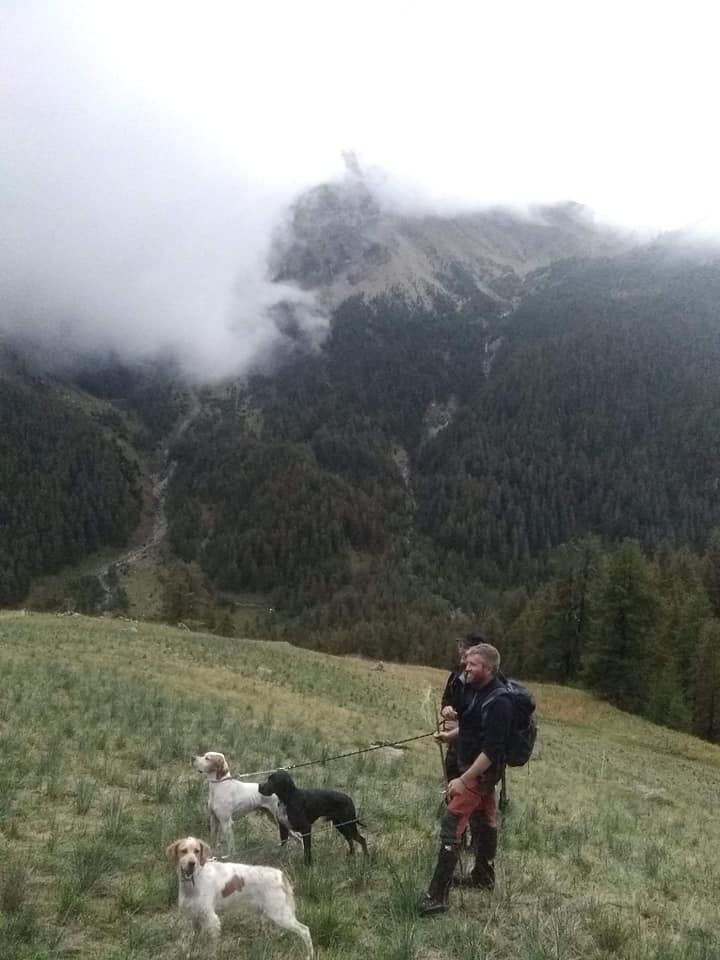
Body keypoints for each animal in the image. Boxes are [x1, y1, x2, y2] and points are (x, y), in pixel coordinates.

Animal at [169, 836, 316, 956]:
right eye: (183, 851)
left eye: (197, 851)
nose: (192, 863)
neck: (194, 881)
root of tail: (279, 874)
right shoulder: (192, 918)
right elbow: (192, 942)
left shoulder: (211, 919)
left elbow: (211, 946)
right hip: (271, 915)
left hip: (280, 915)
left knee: (305, 930)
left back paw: (309, 955)